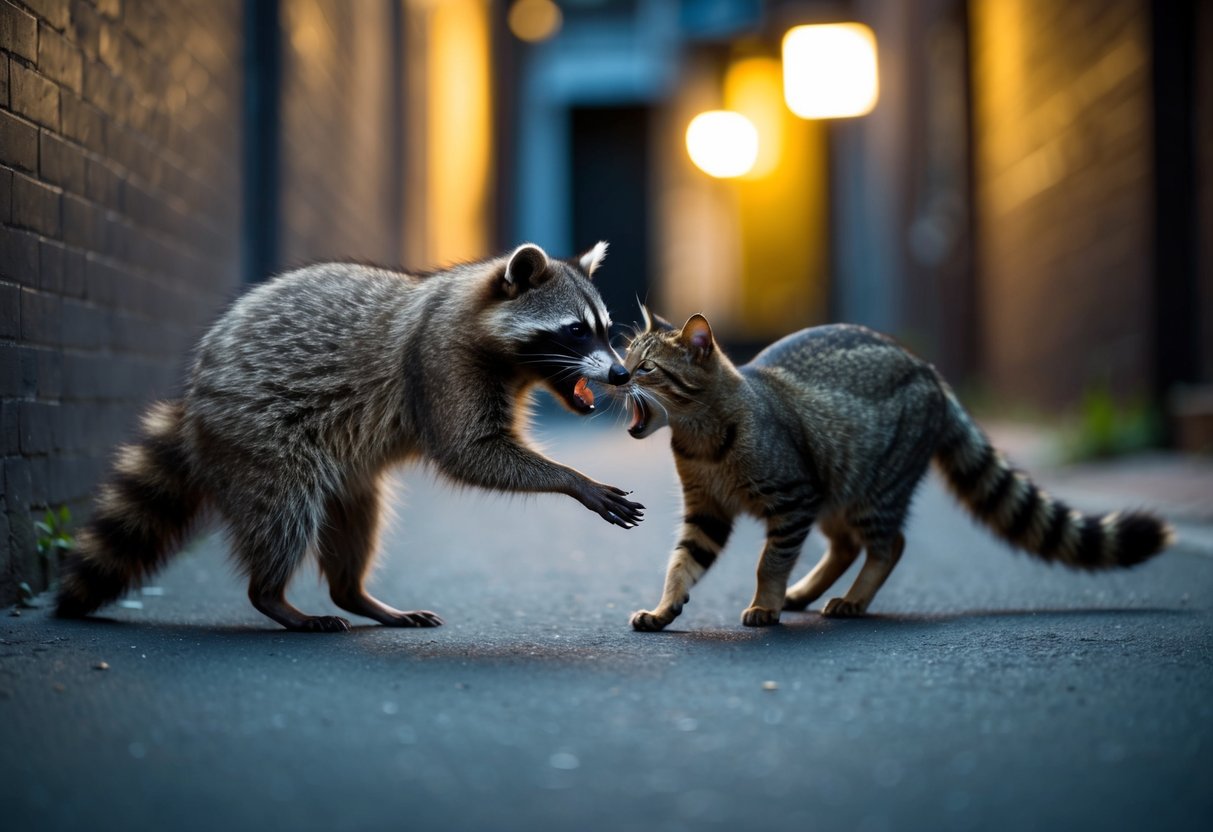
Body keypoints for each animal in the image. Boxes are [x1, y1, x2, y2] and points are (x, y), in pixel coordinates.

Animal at [57, 242, 644, 632]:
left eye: (604, 328)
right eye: (575, 331)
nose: (621, 374)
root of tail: (195, 403)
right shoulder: (440, 362)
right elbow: (467, 452)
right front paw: (572, 479)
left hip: (345, 470)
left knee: (359, 517)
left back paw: (354, 594)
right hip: (258, 433)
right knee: (284, 509)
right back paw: (271, 595)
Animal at [622, 312, 1173, 630]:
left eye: (646, 368)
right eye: (626, 355)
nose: (618, 373)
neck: (700, 440)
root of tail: (930, 371)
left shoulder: (793, 497)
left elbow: (769, 563)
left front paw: (766, 603)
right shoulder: (707, 511)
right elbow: (682, 563)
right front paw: (665, 607)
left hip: (871, 489)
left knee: (889, 544)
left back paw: (850, 600)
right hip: (838, 494)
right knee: (847, 547)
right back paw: (810, 593)